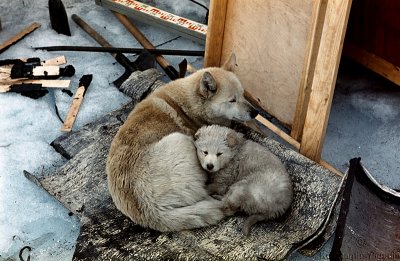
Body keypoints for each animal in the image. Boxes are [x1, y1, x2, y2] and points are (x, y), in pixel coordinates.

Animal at [106, 53, 258, 231]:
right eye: (232, 100)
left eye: (243, 95)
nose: (255, 112)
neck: (189, 106)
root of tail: (151, 212)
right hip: (180, 139)